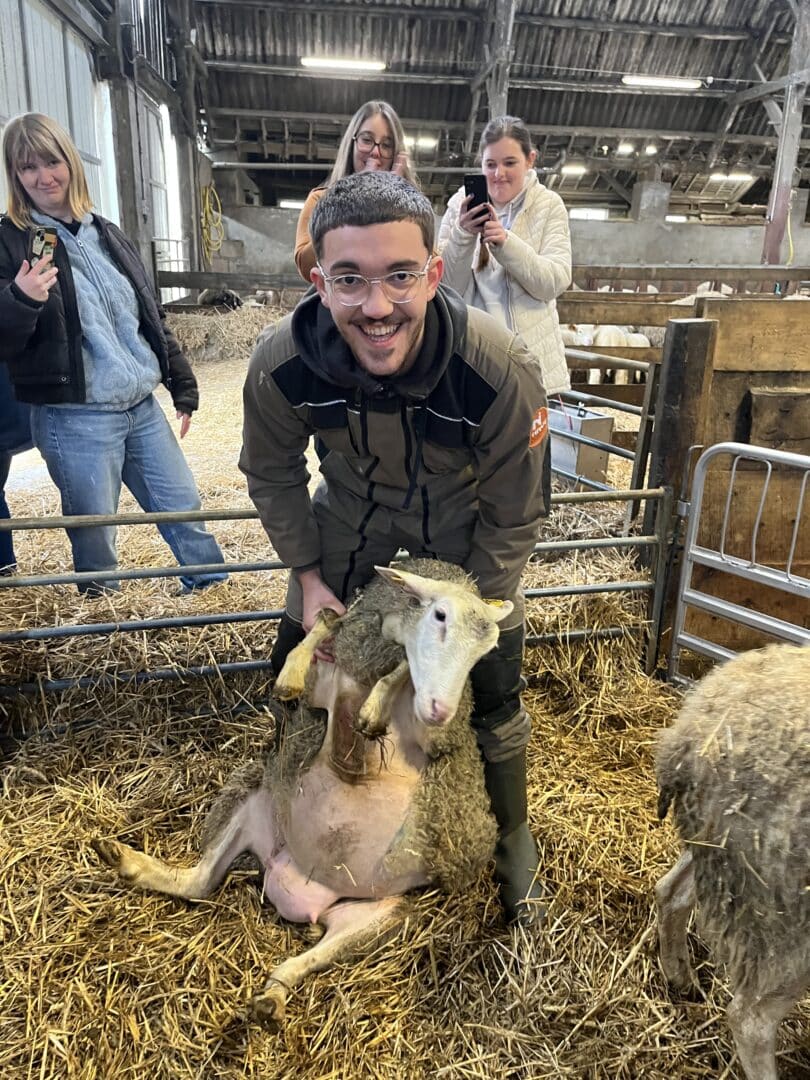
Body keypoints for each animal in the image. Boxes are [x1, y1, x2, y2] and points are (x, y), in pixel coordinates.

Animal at [93, 559, 505, 1028]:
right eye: (439, 616)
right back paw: (126, 861)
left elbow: (401, 672)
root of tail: (298, 890)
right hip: (253, 801)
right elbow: (312, 645)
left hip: (380, 916)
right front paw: (318, 654)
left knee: (302, 958)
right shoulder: (320, 688)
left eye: (484, 651)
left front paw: (372, 711)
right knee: (199, 882)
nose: (441, 707)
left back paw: (272, 997)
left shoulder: (433, 738)